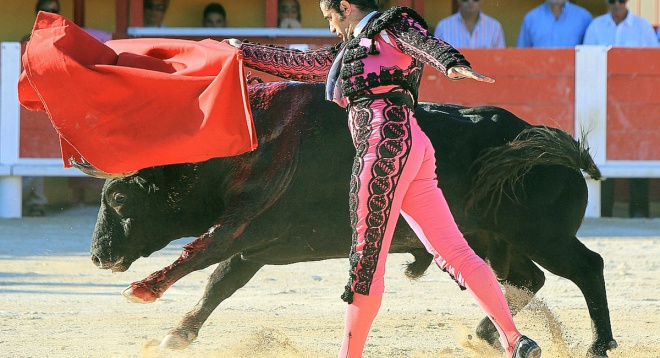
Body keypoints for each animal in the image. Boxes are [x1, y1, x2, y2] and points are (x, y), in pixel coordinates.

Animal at [90, 82, 616, 356]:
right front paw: (177, 334)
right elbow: (221, 282)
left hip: (541, 235)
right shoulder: (254, 243)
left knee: (586, 266)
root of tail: (551, 149)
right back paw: (484, 336)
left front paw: (143, 291)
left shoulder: (247, 223)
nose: (97, 256)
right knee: (523, 279)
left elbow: (204, 253)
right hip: (494, 238)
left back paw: (598, 343)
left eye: (119, 197)